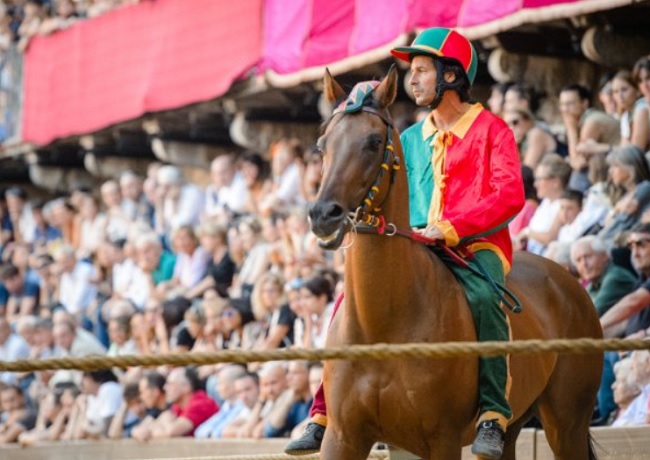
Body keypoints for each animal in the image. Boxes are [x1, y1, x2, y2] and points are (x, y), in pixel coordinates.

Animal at [308, 65, 604, 460]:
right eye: (322, 145)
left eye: (373, 141)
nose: (323, 214)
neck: (383, 324)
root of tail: (569, 283)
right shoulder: (344, 437)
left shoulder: (442, 438)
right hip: (515, 428)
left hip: (566, 422)